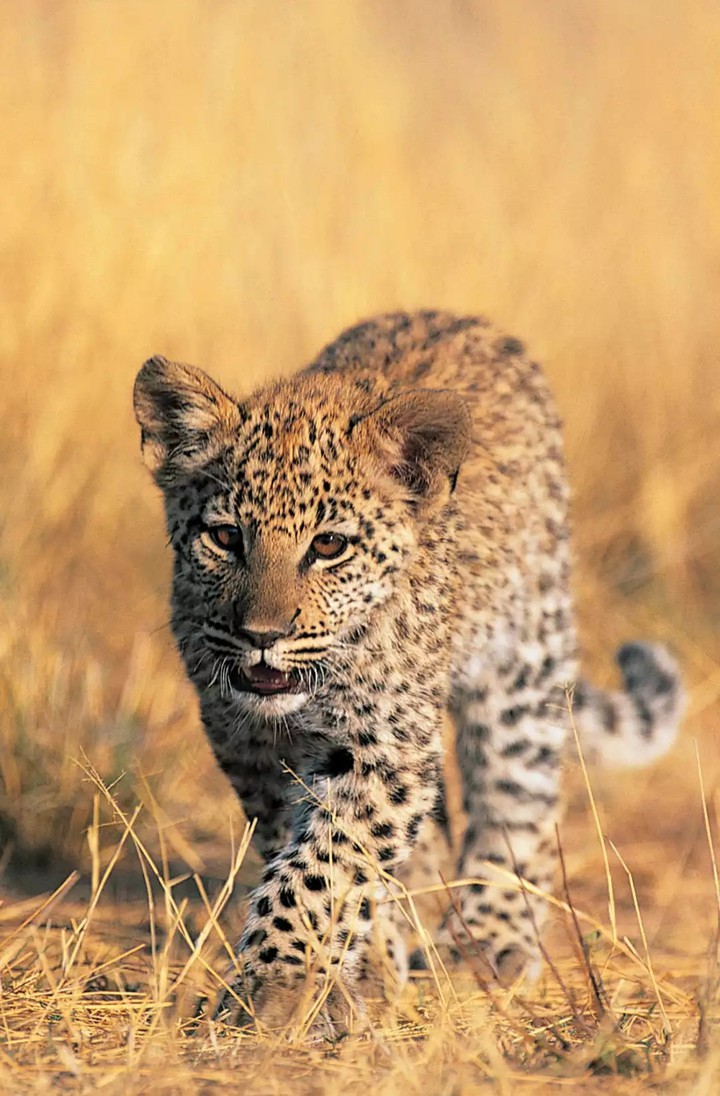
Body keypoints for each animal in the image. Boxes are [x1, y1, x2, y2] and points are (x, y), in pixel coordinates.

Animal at [133, 310, 683, 1031]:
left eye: (329, 546)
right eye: (224, 538)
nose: (261, 637)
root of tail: (461, 318)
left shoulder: (382, 747)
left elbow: (326, 865)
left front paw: (279, 985)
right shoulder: (247, 743)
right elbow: (308, 850)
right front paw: (357, 968)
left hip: (523, 660)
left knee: (519, 795)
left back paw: (491, 938)